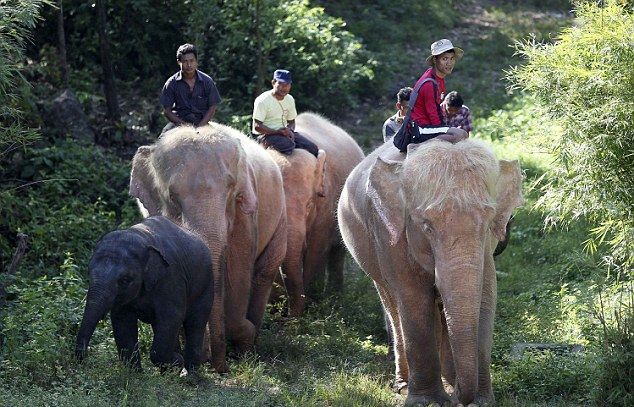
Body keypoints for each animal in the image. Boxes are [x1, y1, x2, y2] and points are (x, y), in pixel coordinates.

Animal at [74, 217, 212, 372]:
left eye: (125, 280)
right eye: (88, 273)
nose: (82, 360)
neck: (141, 237)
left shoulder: (172, 278)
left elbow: (172, 316)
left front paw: (177, 361)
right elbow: (122, 321)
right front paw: (135, 374)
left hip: (206, 285)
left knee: (195, 323)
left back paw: (191, 375)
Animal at [129, 123, 286, 372]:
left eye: (232, 189)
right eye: (172, 196)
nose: (220, 368)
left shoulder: (244, 216)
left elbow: (238, 272)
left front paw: (241, 340)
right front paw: (192, 360)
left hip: (280, 217)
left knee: (264, 272)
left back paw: (250, 347)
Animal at [264, 113, 362, 318]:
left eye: (309, 205)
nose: (289, 315)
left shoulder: (325, 203)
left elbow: (317, 250)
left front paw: (312, 306)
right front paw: (275, 309)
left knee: (337, 252)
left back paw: (335, 297)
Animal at [338, 139, 520, 406]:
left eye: (488, 223)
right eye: (426, 227)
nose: (460, 397)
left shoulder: (485, 250)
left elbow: (486, 298)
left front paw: (479, 401)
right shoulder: (391, 237)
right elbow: (415, 299)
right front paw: (429, 402)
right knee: (393, 307)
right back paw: (403, 385)